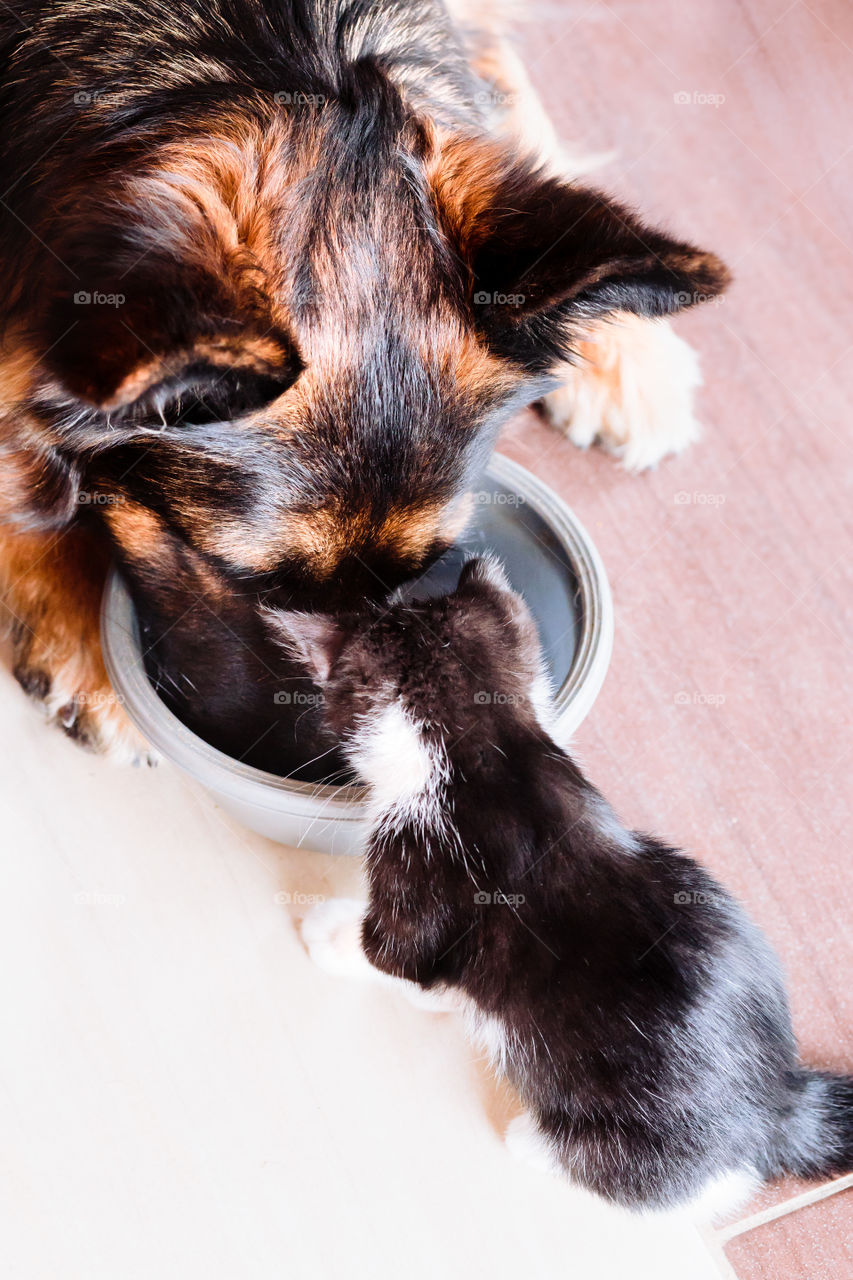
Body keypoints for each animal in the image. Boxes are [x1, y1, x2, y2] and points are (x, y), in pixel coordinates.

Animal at [267, 560, 850, 1218]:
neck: (489, 756)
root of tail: (781, 1106)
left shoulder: (423, 876)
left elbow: (389, 955)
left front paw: (328, 934)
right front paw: (444, 1000)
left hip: (636, 1141)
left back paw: (533, 1143)